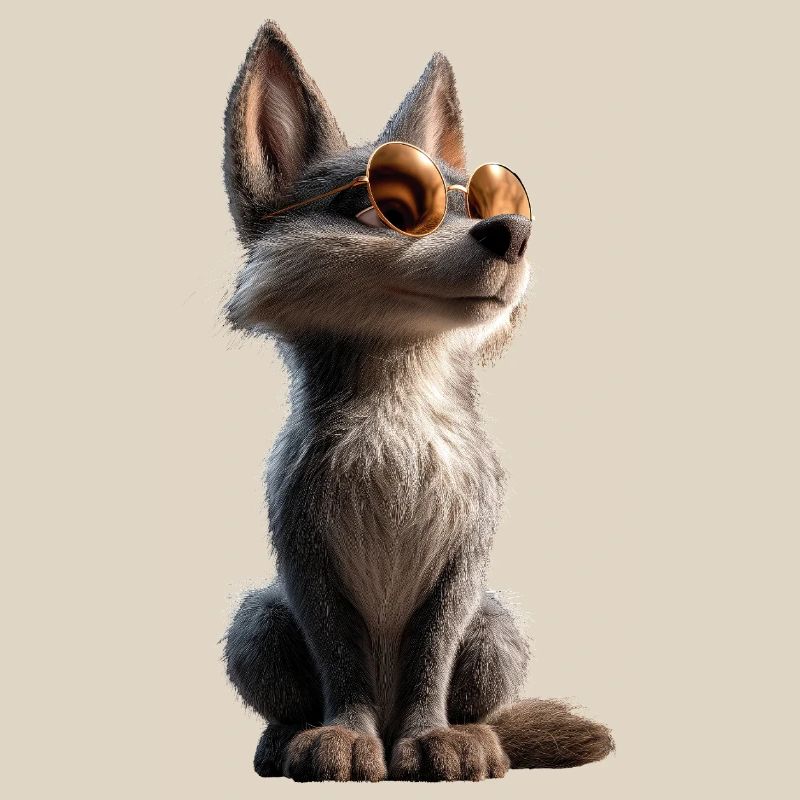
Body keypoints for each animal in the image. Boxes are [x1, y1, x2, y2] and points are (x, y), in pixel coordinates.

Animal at [221, 20, 613, 782]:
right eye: (383, 207)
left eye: (491, 203)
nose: (514, 234)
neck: (399, 421)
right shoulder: (303, 550)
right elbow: (338, 654)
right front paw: (343, 737)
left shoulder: (467, 552)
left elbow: (434, 648)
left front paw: (434, 739)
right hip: (255, 620)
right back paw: (288, 737)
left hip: (498, 628)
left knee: (481, 698)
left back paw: (474, 734)